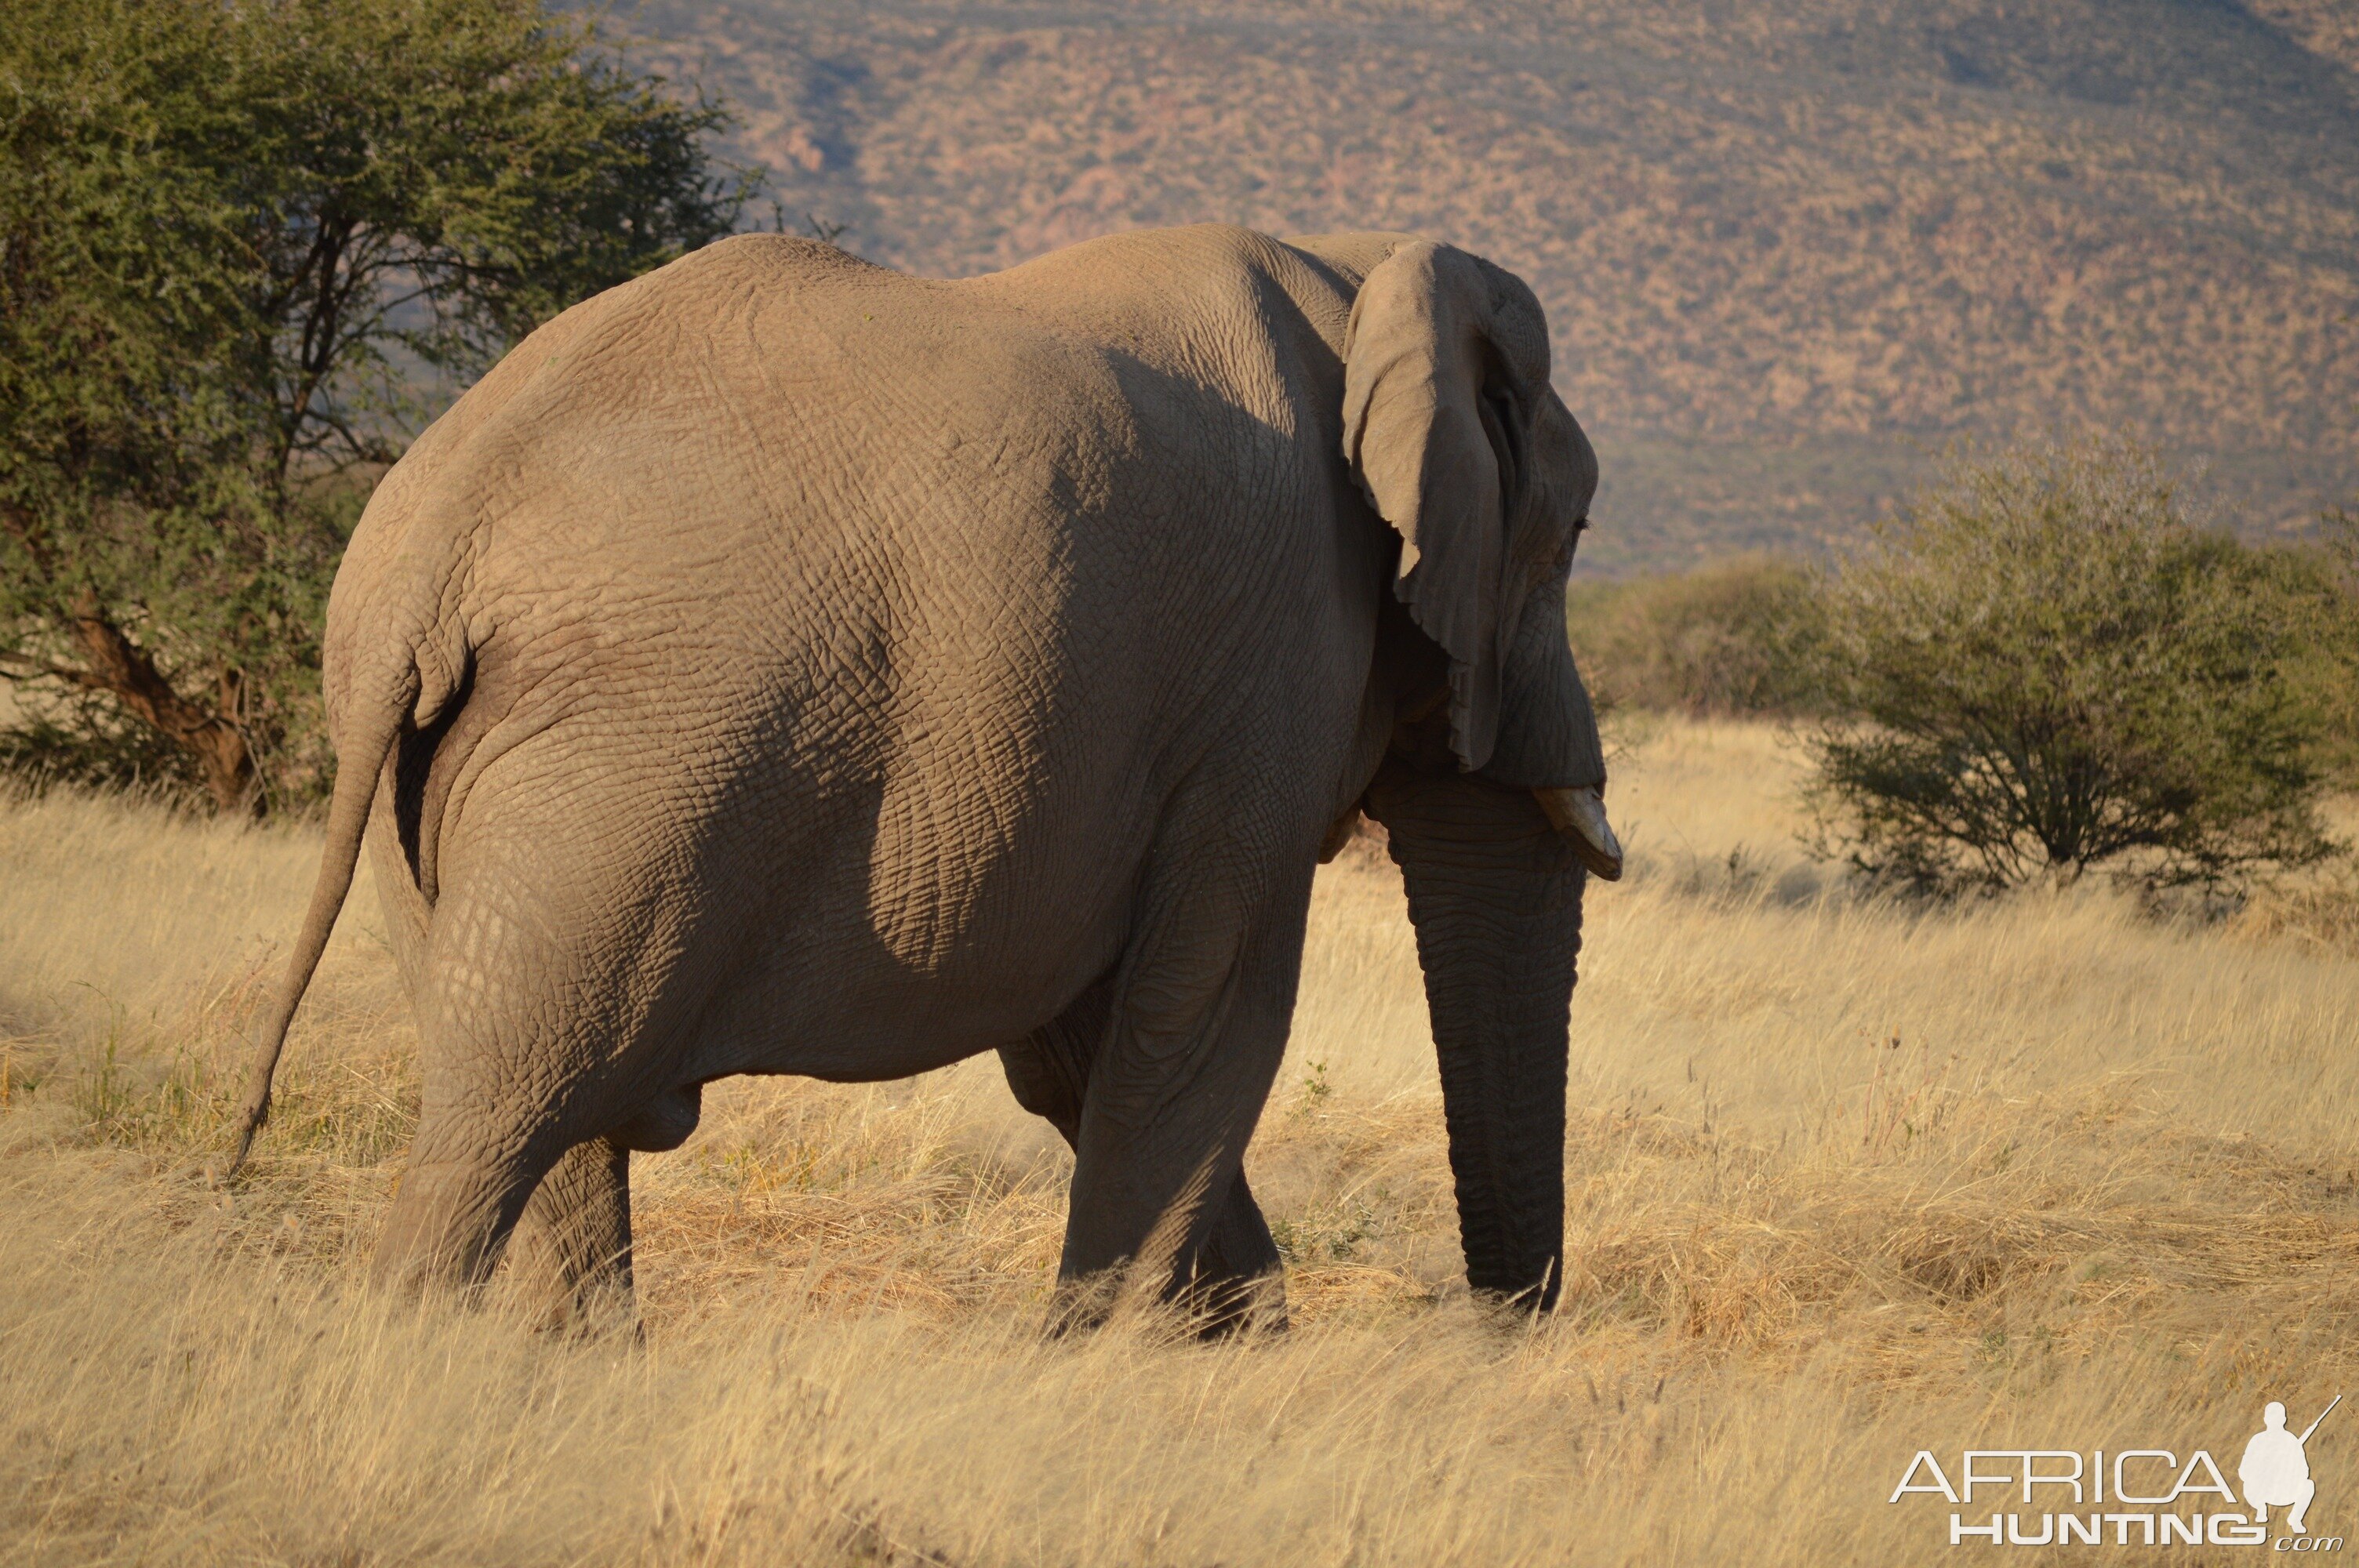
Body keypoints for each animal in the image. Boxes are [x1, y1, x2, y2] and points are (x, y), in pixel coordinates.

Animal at [225, 220, 1623, 1330]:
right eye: (1574, 537)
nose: (1492, 1339)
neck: (1362, 273)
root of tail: (440, 530)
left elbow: (1083, 1051)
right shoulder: (1275, 666)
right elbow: (1205, 1019)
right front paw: (1103, 1373)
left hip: (437, 771)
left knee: (537, 1105)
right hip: (630, 762)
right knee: (516, 1098)